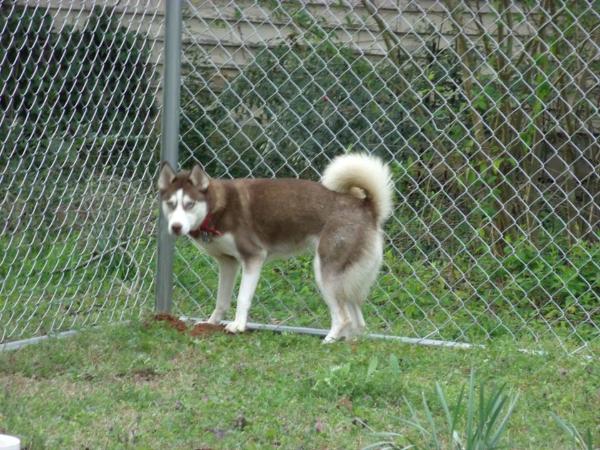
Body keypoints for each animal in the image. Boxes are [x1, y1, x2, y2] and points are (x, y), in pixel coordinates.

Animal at [158, 154, 394, 342]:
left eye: (189, 204)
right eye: (171, 204)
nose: (175, 227)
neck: (216, 210)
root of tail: (366, 206)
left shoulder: (253, 257)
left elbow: (242, 298)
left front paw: (238, 326)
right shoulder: (228, 263)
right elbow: (222, 300)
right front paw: (211, 323)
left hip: (324, 273)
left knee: (343, 317)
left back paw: (329, 339)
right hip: (347, 279)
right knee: (358, 321)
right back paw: (348, 342)